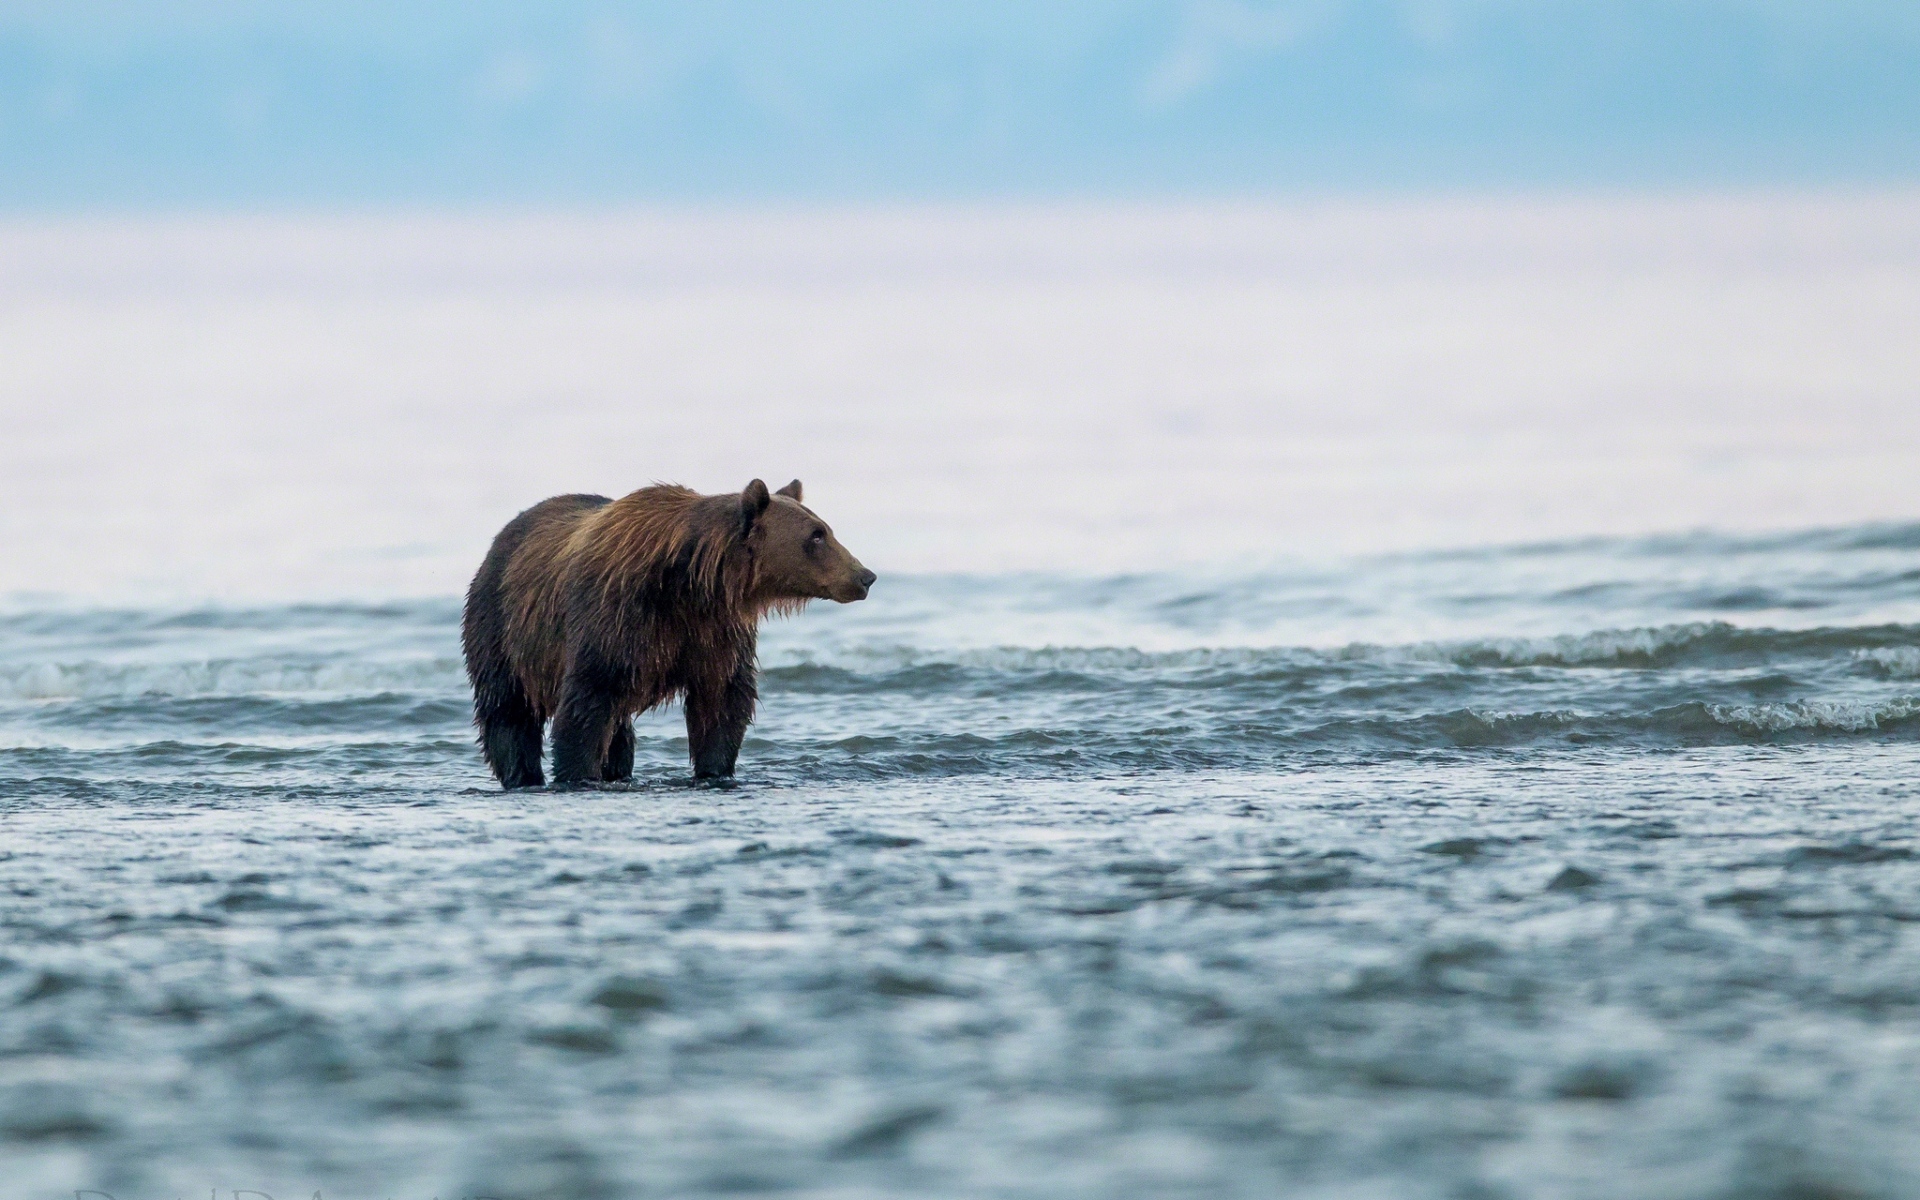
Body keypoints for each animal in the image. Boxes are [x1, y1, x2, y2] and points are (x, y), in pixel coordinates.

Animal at [461, 478, 874, 788]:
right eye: (817, 535)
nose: (865, 575)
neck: (690, 581)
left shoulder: (714, 631)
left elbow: (722, 702)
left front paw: (714, 770)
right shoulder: (616, 617)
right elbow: (586, 703)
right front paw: (577, 773)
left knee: (619, 730)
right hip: (499, 622)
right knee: (507, 709)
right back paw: (522, 774)